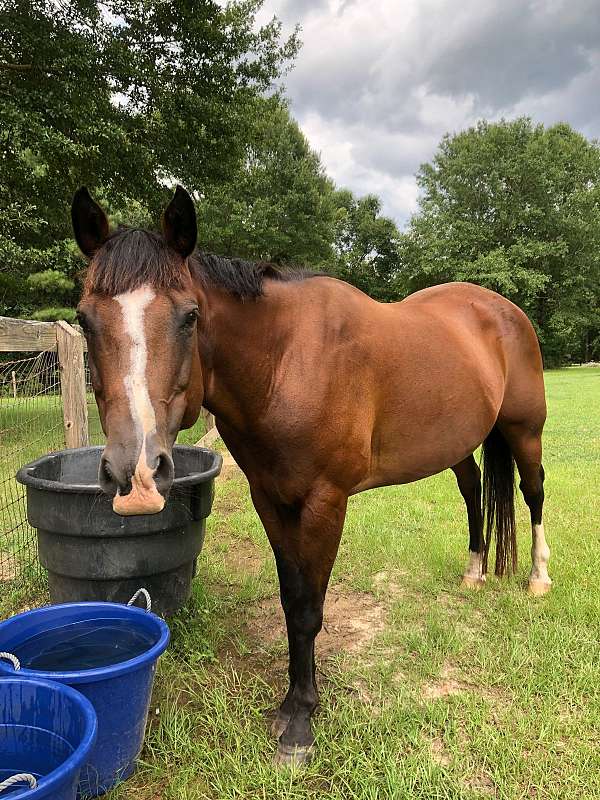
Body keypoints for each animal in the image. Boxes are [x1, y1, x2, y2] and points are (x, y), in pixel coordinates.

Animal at [72, 185, 551, 765]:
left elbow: (308, 609)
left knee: (533, 493)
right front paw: (291, 703)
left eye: (189, 316)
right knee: (473, 489)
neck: (287, 361)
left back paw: (538, 577)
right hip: (457, 442)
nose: (136, 474)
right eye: (84, 318)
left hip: (524, 430)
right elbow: (290, 598)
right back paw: (475, 571)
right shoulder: (270, 499)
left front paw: (300, 721)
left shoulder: (325, 503)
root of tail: (504, 309)